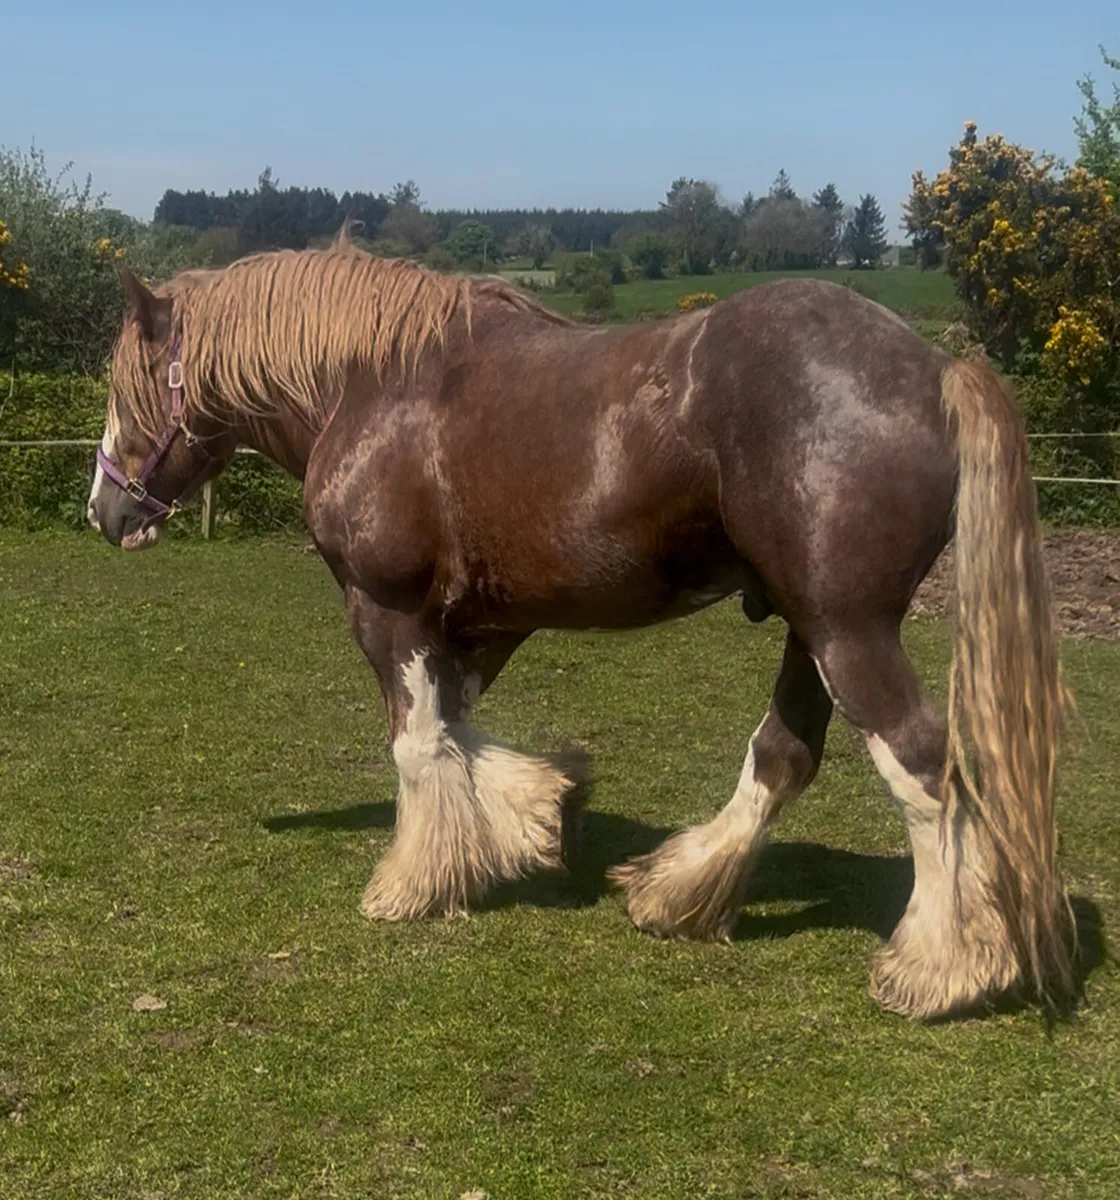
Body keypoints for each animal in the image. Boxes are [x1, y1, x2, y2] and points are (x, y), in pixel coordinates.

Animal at [86, 240, 1074, 1021]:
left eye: (126, 386)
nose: (104, 510)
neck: (370, 386)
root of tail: (935, 371)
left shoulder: (388, 609)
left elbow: (417, 742)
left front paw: (413, 882)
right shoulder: (478, 621)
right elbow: (456, 728)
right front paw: (537, 813)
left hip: (848, 630)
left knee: (924, 766)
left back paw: (938, 968)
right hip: (811, 628)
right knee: (784, 756)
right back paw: (678, 892)